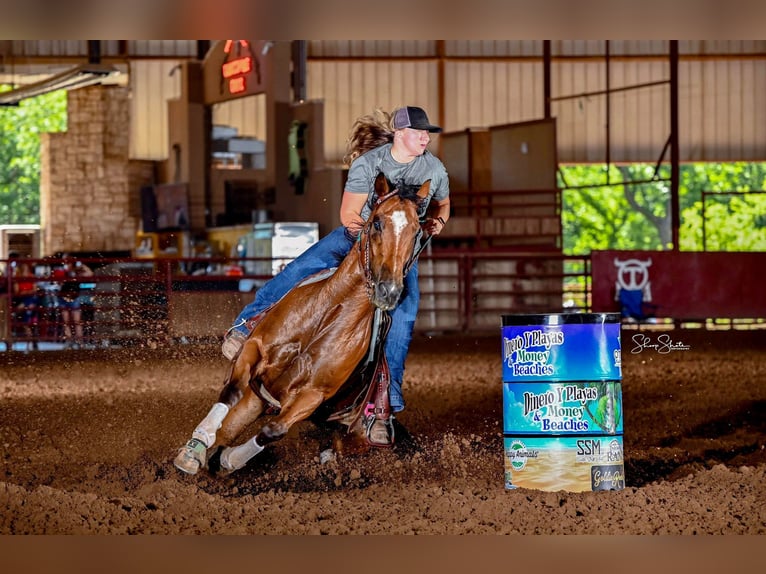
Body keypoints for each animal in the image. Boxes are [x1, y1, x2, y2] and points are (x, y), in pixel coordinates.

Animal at [173, 174, 432, 476]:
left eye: (417, 232)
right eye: (377, 222)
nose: (389, 291)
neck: (324, 317)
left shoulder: (312, 395)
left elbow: (273, 430)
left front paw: (228, 459)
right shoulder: (254, 353)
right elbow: (231, 392)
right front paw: (193, 453)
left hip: (351, 435)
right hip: (257, 397)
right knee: (229, 423)